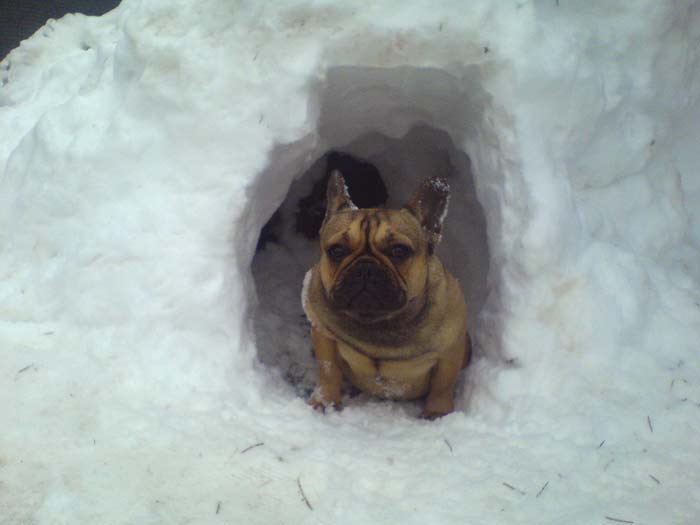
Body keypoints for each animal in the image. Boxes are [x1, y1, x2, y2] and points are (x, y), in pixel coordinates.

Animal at [302, 171, 470, 419]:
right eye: (337, 250)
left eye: (399, 251)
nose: (365, 269)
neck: (379, 323)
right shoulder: (324, 336)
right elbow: (328, 370)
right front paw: (326, 402)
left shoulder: (449, 351)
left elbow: (443, 384)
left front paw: (436, 413)